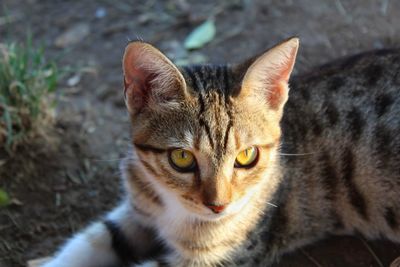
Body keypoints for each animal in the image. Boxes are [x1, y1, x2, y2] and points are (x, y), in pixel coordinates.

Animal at [43, 37, 400, 267]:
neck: (170, 207)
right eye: (181, 158)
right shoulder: (138, 210)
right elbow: (92, 240)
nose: (218, 206)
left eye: (247, 156)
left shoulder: (222, 257)